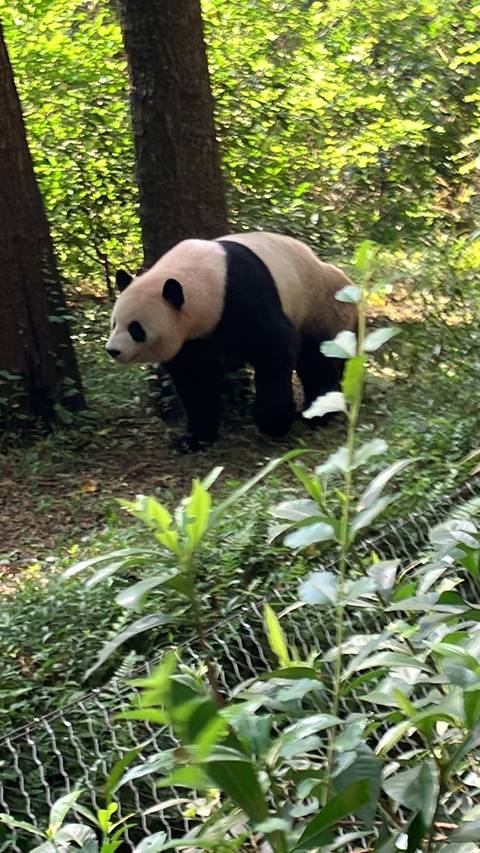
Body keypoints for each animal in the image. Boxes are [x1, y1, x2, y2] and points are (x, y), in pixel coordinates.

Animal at [106, 232, 357, 450]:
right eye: (114, 323)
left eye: (136, 329)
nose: (112, 350)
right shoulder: (192, 338)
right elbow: (194, 379)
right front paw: (194, 439)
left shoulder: (245, 296)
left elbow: (275, 349)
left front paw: (273, 422)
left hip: (317, 308)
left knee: (317, 359)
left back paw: (319, 414)